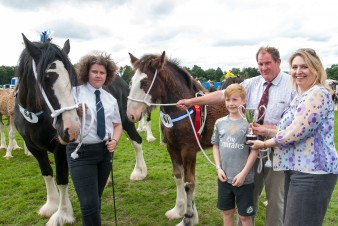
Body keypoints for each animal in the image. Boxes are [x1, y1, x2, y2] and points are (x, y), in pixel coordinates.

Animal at [13, 34, 80, 226]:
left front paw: (63, 213)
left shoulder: (60, 147)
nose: (72, 129)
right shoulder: (33, 147)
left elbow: (61, 177)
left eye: (72, 78)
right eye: (45, 78)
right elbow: (47, 173)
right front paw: (51, 205)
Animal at [127, 52, 227, 225]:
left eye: (144, 81)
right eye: (131, 81)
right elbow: (179, 177)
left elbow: (189, 183)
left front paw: (188, 218)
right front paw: (179, 210)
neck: (183, 111)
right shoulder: (172, 148)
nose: (130, 114)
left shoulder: (188, 150)